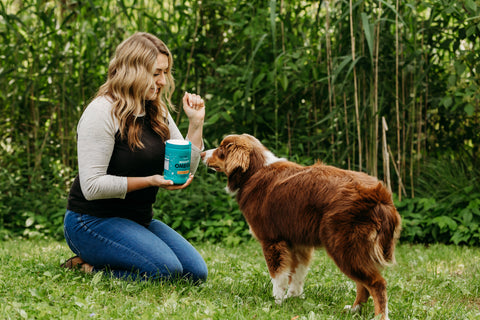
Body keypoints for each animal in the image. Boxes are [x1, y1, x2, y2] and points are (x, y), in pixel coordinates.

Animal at [201, 134, 404, 320]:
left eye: (221, 148)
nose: (202, 153)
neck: (254, 171)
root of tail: (380, 196)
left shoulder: (272, 240)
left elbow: (278, 275)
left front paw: (276, 302)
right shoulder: (298, 242)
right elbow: (296, 274)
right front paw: (293, 298)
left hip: (343, 247)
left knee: (376, 283)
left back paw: (380, 316)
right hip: (353, 250)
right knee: (363, 283)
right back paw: (354, 310)